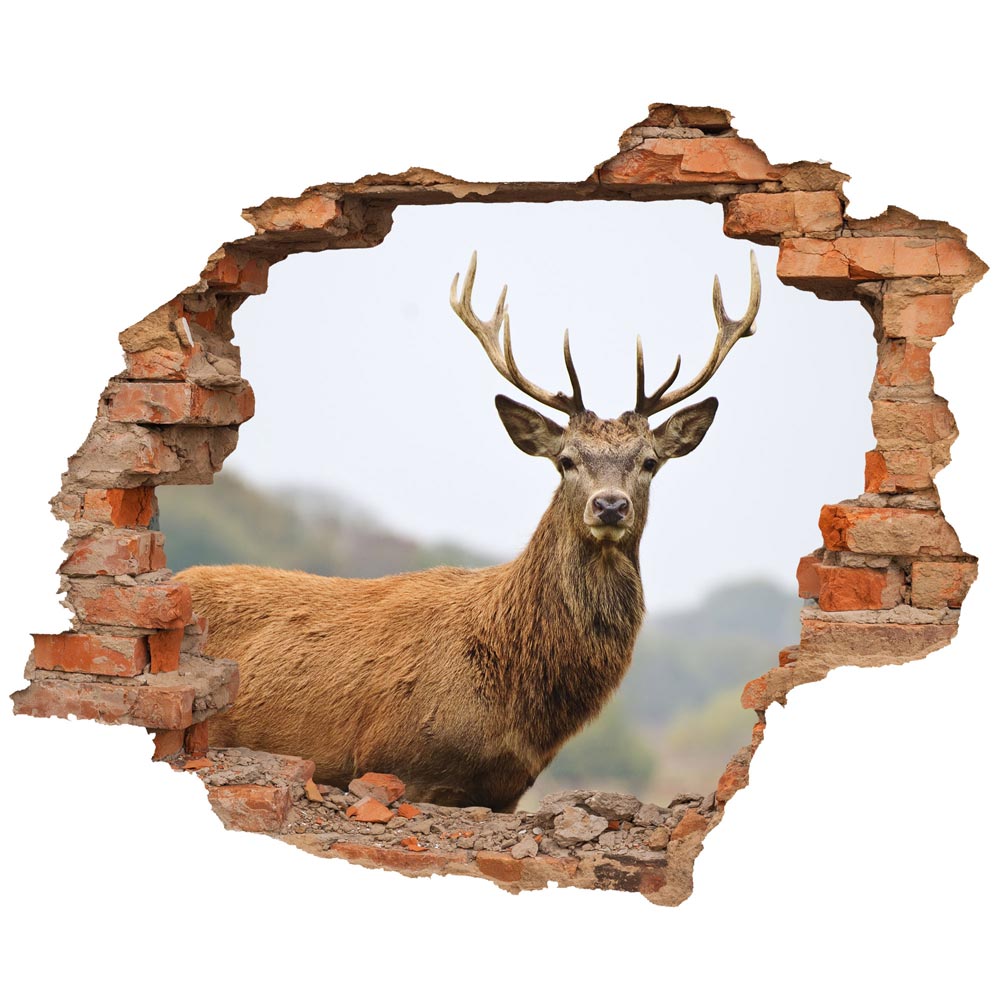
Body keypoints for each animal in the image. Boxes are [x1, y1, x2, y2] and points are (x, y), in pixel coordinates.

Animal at [176, 250, 760, 811]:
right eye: (566, 460)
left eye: (649, 462)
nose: (610, 506)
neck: (516, 704)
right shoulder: (397, 762)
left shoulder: (507, 791)